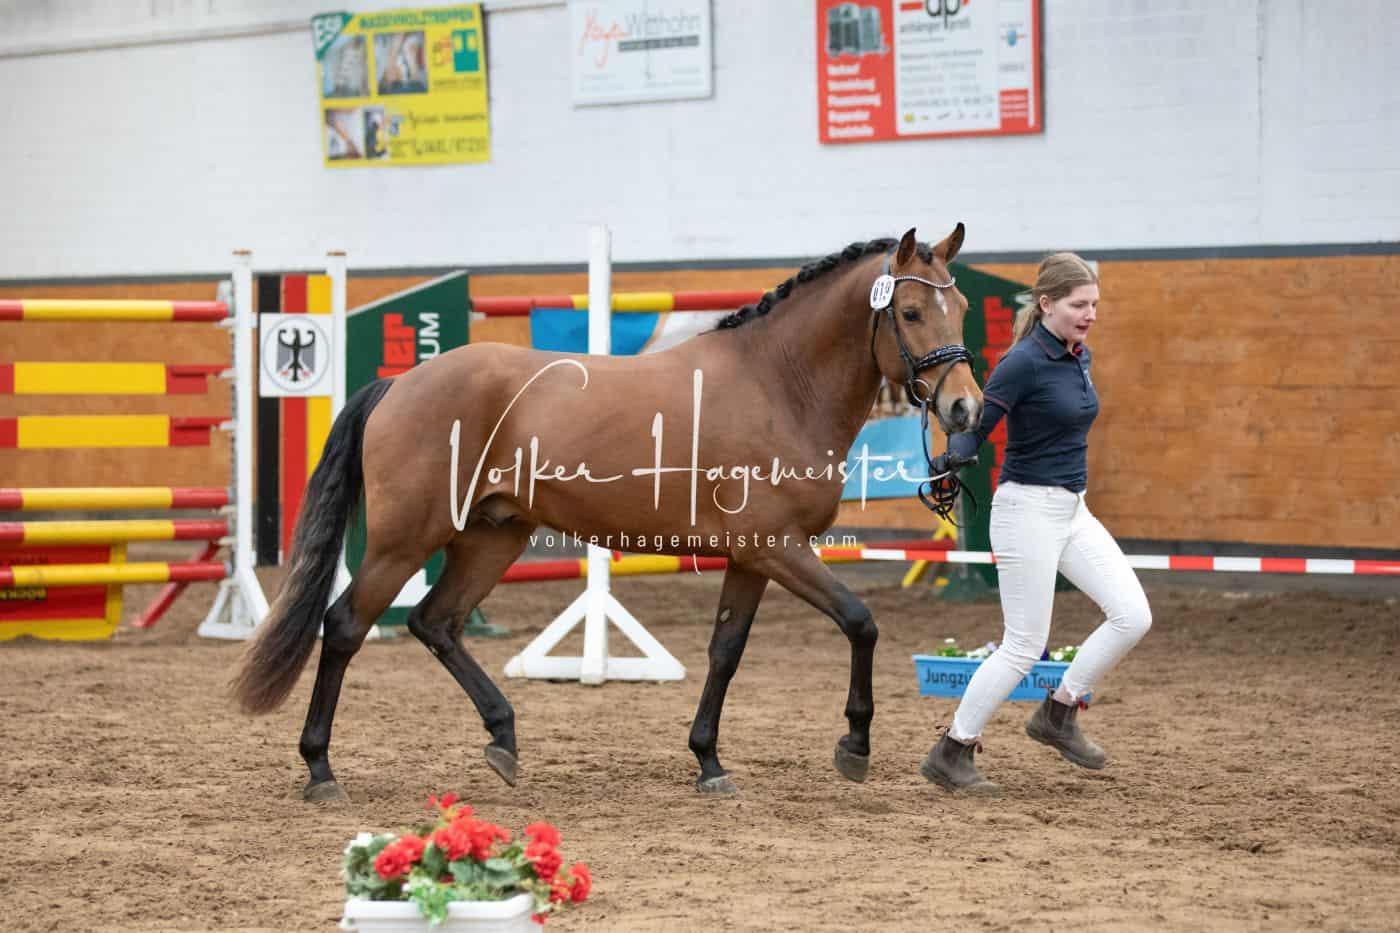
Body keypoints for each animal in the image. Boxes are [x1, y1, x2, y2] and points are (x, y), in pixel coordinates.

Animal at [232, 225, 984, 801]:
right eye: (910, 313)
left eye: (963, 305)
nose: (965, 408)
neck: (777, 383)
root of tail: (399, 383)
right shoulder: (779, 546)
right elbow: (860, 620)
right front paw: (854, 742)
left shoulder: (753, 555)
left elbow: (726, 651)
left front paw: (709, 759)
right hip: (403, 541)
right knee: (346, 626)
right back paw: (321, 768)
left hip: (492, 537)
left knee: (435, 621)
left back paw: (503, 739)